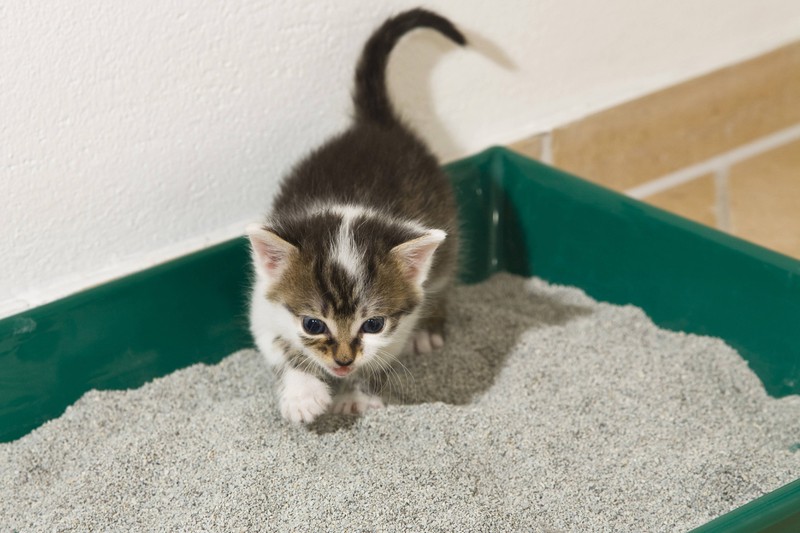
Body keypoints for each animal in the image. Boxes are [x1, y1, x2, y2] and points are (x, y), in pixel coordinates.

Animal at [247, 8, 466, 422]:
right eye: (313, 324)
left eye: (373, 324)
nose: (344, 361)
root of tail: (376, 124)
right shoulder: (262, 309)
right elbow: (283, 349)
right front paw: (303, 394)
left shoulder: (396, 328)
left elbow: (380, 358)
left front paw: (357, 394)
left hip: (445, 240)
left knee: (442, 278)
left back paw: (429, 330)